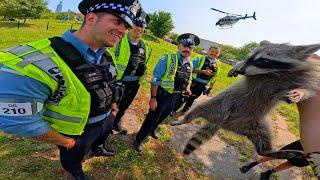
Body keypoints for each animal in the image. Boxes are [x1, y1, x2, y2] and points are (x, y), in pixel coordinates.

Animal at [172, 40, 320, 158]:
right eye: (249, 57)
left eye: (263, 60)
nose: (242, 70)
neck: (274, 73)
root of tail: (223, 123)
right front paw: (238, 65)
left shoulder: (301, 77)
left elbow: (308, 90)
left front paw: (300, 93)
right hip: (218, 105)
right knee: (198, 109)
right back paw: (186, 119)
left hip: (254, 123)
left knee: (263, 140)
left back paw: (268, 152)